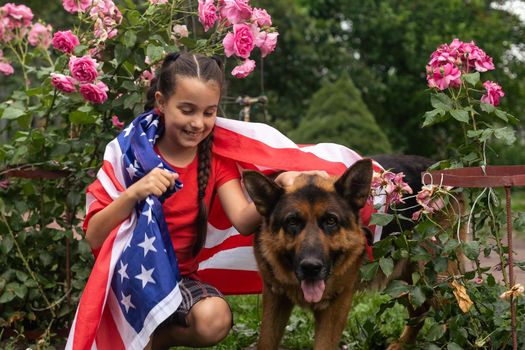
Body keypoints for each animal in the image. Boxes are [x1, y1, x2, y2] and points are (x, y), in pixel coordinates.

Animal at [244, 156, 456, 350]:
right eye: (292, 221)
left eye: (331, 221)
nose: (311, 267)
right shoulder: (275, 297)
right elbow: (266, 342)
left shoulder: (336, 305)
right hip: (402, 281)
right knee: (420, 309)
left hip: (437, 280)